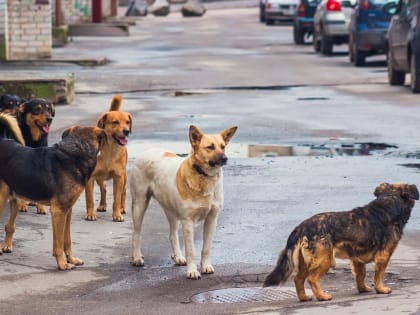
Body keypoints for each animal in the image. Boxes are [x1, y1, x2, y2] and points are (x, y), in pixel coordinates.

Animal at [0, 112, 105, 270]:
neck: (76, 151)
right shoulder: (58, 211)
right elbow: (59, 244)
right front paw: (62, 264)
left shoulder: (67, 211)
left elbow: (66, 240)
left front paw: (71, 259)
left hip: (14, 198)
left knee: (9, 225)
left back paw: (6, 246)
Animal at [130, 124, 238, 280]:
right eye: (210, 147)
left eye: (223, 147)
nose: (225, 158)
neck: (203, 176)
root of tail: (147, 151)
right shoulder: (188, 222)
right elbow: (191, 250)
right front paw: (192, 271)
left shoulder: (212, 219)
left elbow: (206, 248)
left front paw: (206, 266)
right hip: (140, 204)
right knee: (136, 233)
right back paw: (137, 257)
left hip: (171, 211)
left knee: (172, 234)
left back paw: (178, 257)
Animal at [264, 184, 418, 302]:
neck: (389, 201)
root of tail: (301, 227)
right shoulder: (383, 256)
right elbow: (378, 275)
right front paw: (381, 289)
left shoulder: (357, 259)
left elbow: (360, 275)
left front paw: (363, 289)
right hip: (325, 260)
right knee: (312, 279)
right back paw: (322, 296)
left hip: (305, 262)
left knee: (298, 279)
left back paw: (304, 298)